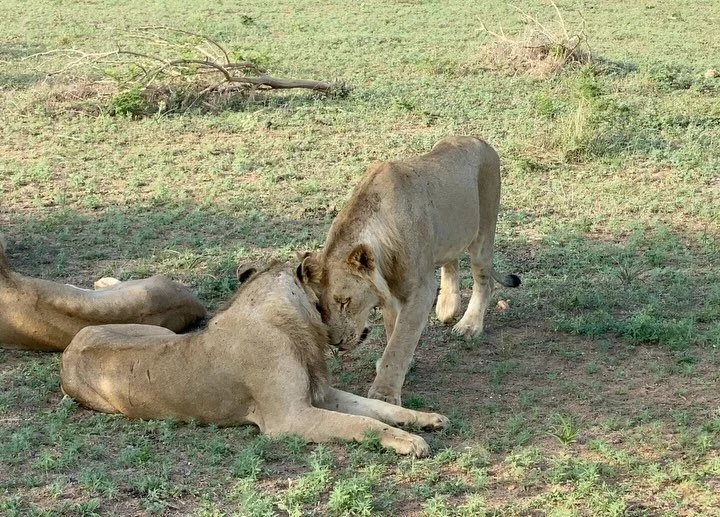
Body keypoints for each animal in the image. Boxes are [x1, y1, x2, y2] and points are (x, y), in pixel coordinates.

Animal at [60, 263, 448, 457]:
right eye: (339, 299)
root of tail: (72, 347)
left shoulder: (320, 394)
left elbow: (380, 408)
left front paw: (427, 419)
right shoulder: (290, 417)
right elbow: (363, 424)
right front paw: (410, 441)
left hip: (159, 332)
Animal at [299, 136, 520, 404]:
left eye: (345, 301)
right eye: (318, 306)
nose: (336, 343)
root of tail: (479, 140)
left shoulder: (420, 290)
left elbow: (401, 339)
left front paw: (384, 393)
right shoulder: (389, 291)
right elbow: (393, 330)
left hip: (484, 230)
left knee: (484, 280)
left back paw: (469, 326)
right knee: (451, 259)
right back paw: (447, 307)